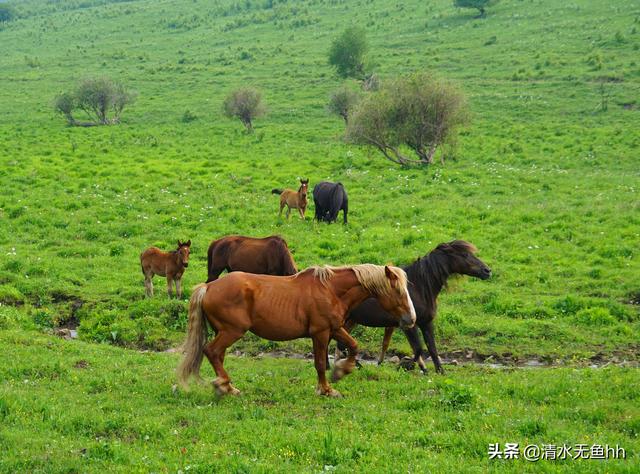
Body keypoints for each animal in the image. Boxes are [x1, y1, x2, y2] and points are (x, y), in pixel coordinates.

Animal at [178, 264, 418, 398]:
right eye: (398, 291)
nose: (411, 319)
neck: (331, 290)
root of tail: (208, 287)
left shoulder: (334, 328)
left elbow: (353, 345)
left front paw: (341, 371)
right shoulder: (320, 333)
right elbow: (320, 363)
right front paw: (327, 390)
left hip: (224, 332)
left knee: (217, 355)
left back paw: (228, 387)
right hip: (232, 331)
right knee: (211, 351)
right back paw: (223, 386)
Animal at [338, 241, 492, 374]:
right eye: (465, 255)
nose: (487, 271)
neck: (418, 288)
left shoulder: (426, 323)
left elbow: (432, 348)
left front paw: (439, 371)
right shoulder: (409, 325)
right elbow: (418, 348)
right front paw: (408, 366)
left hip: (350, 321)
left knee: (341, 344)